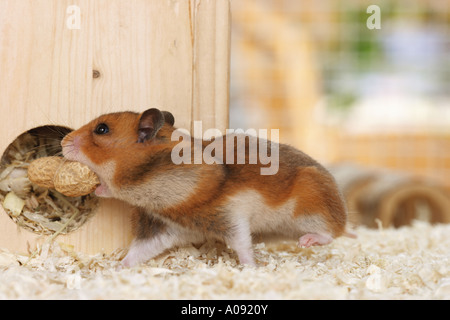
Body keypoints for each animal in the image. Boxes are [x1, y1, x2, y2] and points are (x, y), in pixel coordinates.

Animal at [62, 109, 352, 266]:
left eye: (102, 129)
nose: (63, 141)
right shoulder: (165, 227)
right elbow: (139, 251)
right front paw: (118, 268)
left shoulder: (230, 216)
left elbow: (242, 244)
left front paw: (251, 268)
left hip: (310, 206)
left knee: (331, 233)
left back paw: (307, 241)